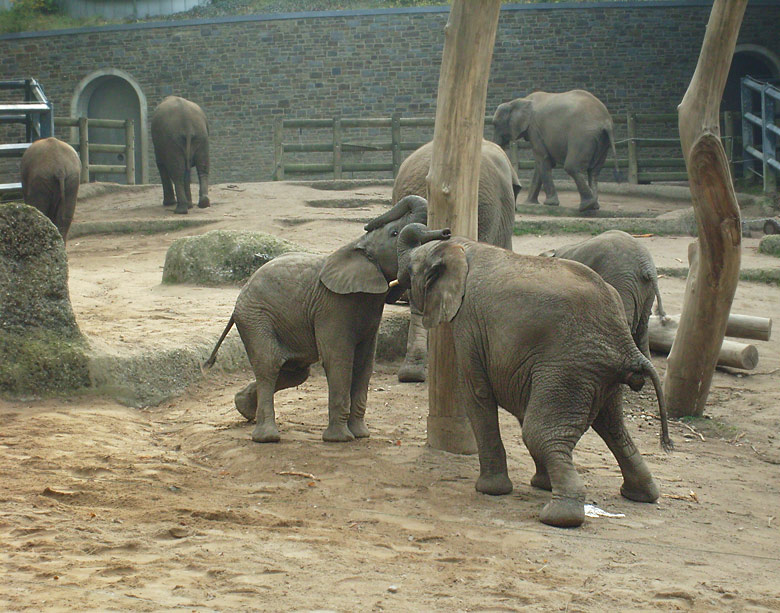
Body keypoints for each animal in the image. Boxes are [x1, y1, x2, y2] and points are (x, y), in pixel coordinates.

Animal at [203, 198, 444, 442]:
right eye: (394, 233)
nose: (445, 232)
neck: (357, 246)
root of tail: (240, 295)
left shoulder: (369, 307)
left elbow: (364, 363)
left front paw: (361, 435)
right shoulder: (333, 306)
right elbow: (339, 359)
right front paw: (340, 439)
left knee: (295, 372)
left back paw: (242, 407)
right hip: (254, 316)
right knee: (269, 366)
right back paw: (267, 437)